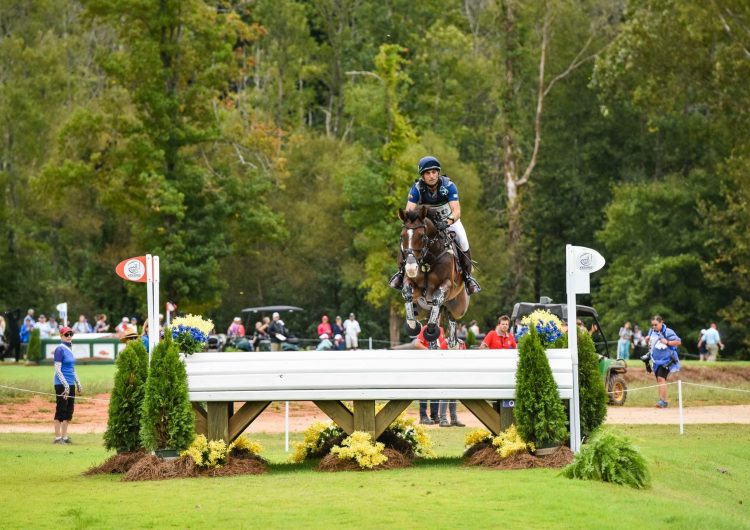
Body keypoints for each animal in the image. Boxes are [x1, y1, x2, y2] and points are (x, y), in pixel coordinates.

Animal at [400, 205, 470, 346]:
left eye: (422, 236)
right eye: (402, 236)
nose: (411, 267)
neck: (428, 259)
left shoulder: (447, 284)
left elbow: (437, 299)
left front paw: (431, 332)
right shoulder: (411, 283)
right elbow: (407, 294)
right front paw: (413, 327)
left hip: (458, 306)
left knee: (451, 316)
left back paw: (453, 343)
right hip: (422, 308)